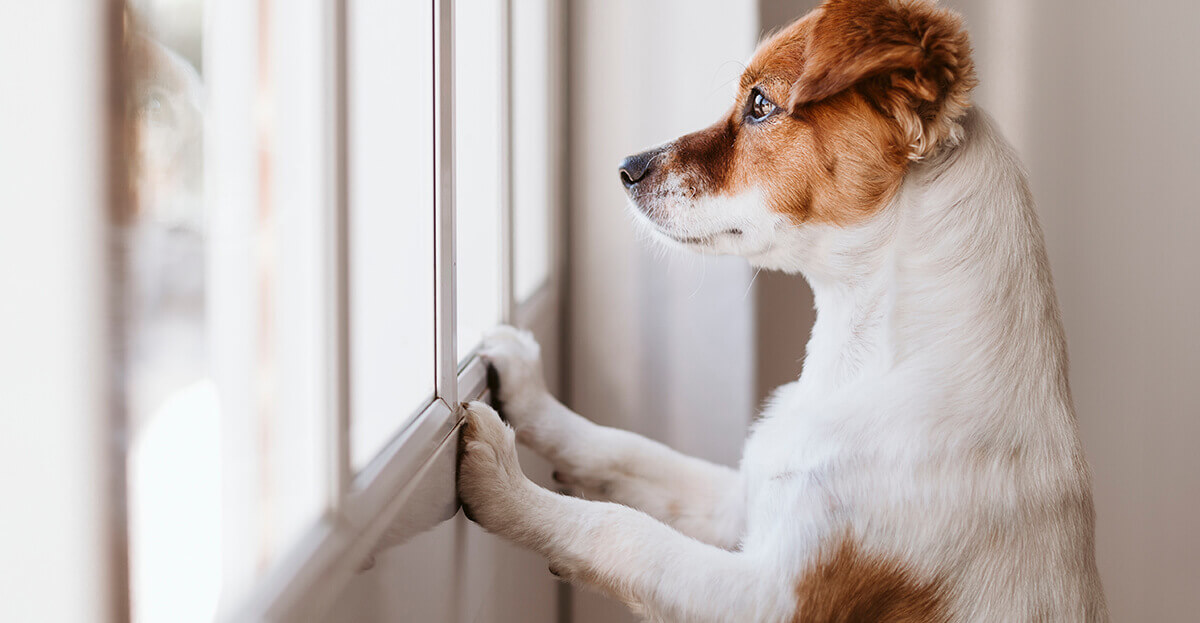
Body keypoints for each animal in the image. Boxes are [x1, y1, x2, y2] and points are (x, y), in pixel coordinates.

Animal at [456, 1, 1104, 619]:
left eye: (761, 104)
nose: (625, 169)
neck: (862, 362)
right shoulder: (744, 501)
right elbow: (626, 450)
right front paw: (528, 392)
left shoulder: (773, 594)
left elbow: (622, 531)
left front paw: (503, 483)